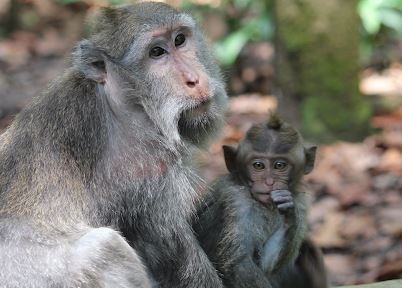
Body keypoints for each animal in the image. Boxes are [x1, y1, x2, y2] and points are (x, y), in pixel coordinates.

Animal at [0, 2, 226, 288]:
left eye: (179, 40)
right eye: (156, 52)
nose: (194, 79)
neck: (124, 101)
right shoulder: (148, 162)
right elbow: (176, 253)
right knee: (104, 247)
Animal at [192, 113, 326, 286]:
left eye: (279, 165)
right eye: (258, 165)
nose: (269, 182)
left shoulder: (300, 202)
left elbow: (267, 265)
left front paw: (289, 213)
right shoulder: (237, 201)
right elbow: (240, 264)